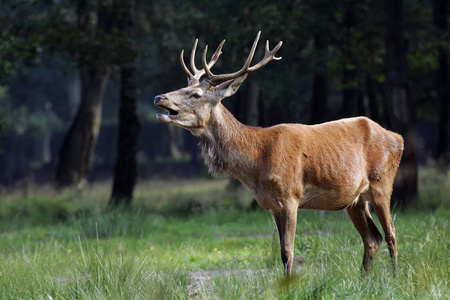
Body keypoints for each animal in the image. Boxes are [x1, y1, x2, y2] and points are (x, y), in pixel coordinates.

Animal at [155, 31, 404, 276]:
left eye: (196, 94)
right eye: (183, 87)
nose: (159, 97)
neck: (257, 162)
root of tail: (398, 138)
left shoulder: (290, 195)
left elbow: (287, 252)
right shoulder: (273, 204)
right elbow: (281, 252)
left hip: (382, 183)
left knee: (391, 233)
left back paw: (394, 276)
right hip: (355, 199)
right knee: (372, 238)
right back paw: (364, 279)